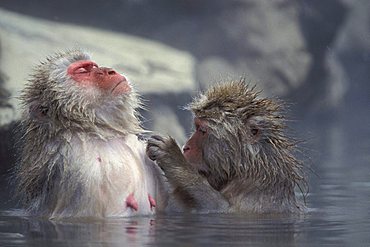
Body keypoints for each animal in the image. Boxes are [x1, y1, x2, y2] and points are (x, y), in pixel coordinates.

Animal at [147, 80, 306, 213]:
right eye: (196, 127)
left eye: (202, 130)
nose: (186, 147)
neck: (250, 168)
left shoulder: (259, 191)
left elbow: (223, 209)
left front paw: (172, 156)